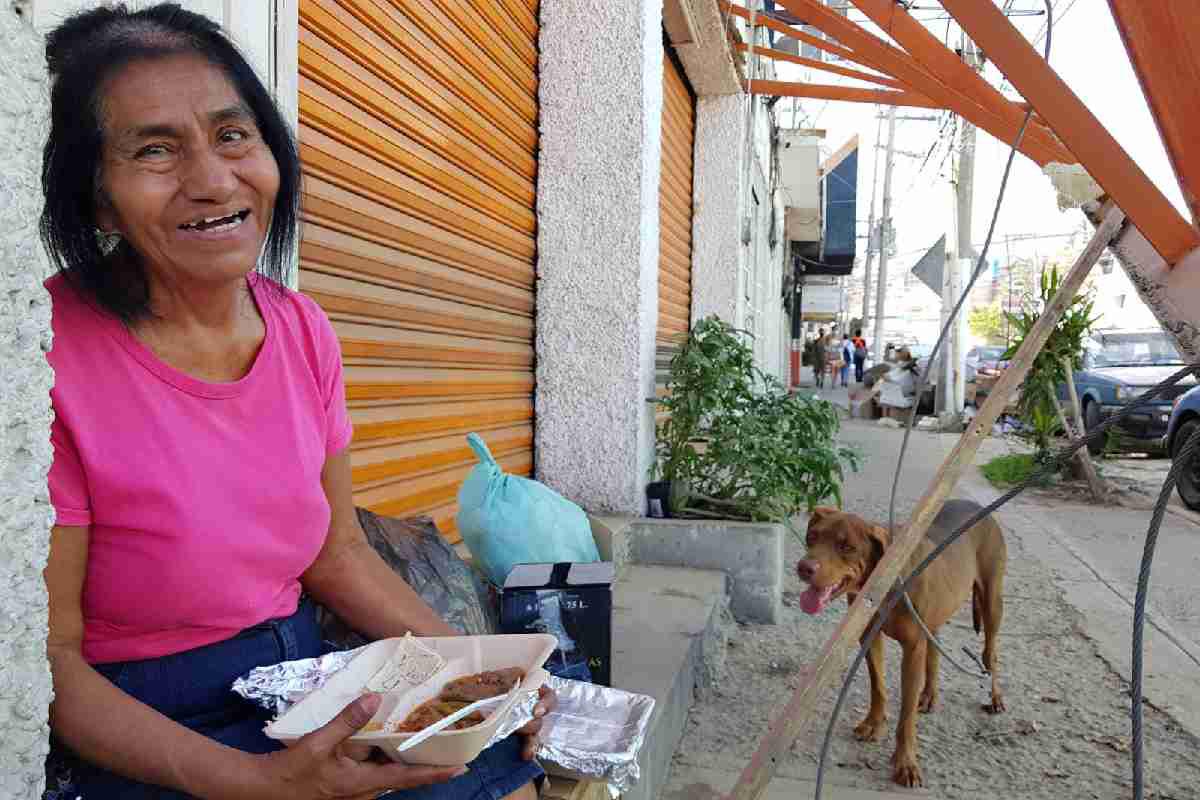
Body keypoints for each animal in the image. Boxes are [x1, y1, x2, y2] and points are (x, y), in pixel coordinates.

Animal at [801, 501, 1008, 786]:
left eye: (847, 547)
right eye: (812, 537)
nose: (804, 567)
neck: (885, 581)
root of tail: (978, 506)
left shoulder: (912, 649)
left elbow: (906, 714)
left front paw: (906, 763)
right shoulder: (869, 636)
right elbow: (878, 685)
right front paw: (874, 724)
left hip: (991, 603)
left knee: (990, 654)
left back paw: (995, 697)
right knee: (935, 651)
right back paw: (929, 696)